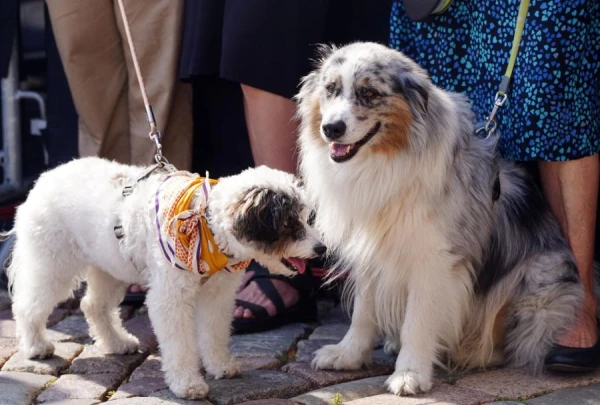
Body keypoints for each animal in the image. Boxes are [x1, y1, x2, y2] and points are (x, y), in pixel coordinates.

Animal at [4, 157, 324, 398]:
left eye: (306, 218)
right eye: (288, 223)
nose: (321, 249)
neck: (205, 221)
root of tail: (45, 178)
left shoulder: (217, 296)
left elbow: (214, 332)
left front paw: (220, 366)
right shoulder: (171, 298)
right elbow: (179, 345)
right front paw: (187, 384)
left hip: (108, 267)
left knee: (93, 306)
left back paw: (117, 342)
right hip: (52, 264)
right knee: (27, 306)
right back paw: (35, 346)